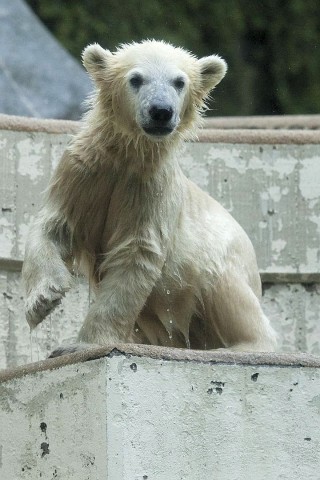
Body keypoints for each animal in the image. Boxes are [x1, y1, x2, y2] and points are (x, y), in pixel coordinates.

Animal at [23, 40, 278, 356]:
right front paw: (42, 300)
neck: (126, 155)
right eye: (136, 79)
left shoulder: (151, 189)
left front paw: (78, 345)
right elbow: (54, 226)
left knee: (223, 289)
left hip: (224, 259)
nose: (161, 111)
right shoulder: (82, 173)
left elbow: (137, 254)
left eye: (179, 82)